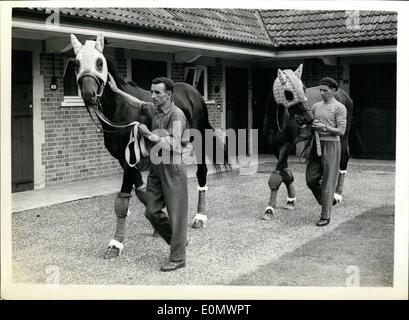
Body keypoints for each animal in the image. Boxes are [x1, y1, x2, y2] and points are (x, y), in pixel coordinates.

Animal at [71, 33, 230, 256]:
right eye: (76, 63)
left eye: (99, 62)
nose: (88, 95)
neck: (122, 108)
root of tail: (194, 92)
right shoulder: (125, 159)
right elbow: (141, 192)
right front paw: (159, 223)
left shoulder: (130, 158)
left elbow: (123, 199)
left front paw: (116, 244)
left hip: (199, 142)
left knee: (201, 173)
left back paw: (200, 217)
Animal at [262, 65, 352, 220]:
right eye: (288, 93)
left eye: (304, 88)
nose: (308, 117)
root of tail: (343, 94)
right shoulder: (274, 146)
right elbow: (286, 173)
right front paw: (291, 200)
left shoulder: (287, 144)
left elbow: (276, 175)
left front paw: (269, 209)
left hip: (344, 135)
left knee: (344, 159)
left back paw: (337, 194)